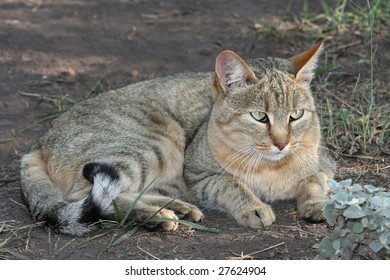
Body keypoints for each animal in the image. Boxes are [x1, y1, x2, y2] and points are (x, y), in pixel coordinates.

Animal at [19, 42, 336, 235]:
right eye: (260, 117)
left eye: (296, 115)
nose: (282, 143)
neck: (272, 166)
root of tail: (37, 144)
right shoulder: (198, 175)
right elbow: (231, 184)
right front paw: (254, 207)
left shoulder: (327, 164)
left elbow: (315, 180)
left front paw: (317, 203)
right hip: (154, 145)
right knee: (91, 198)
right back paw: (157, 215)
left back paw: (174, 208)